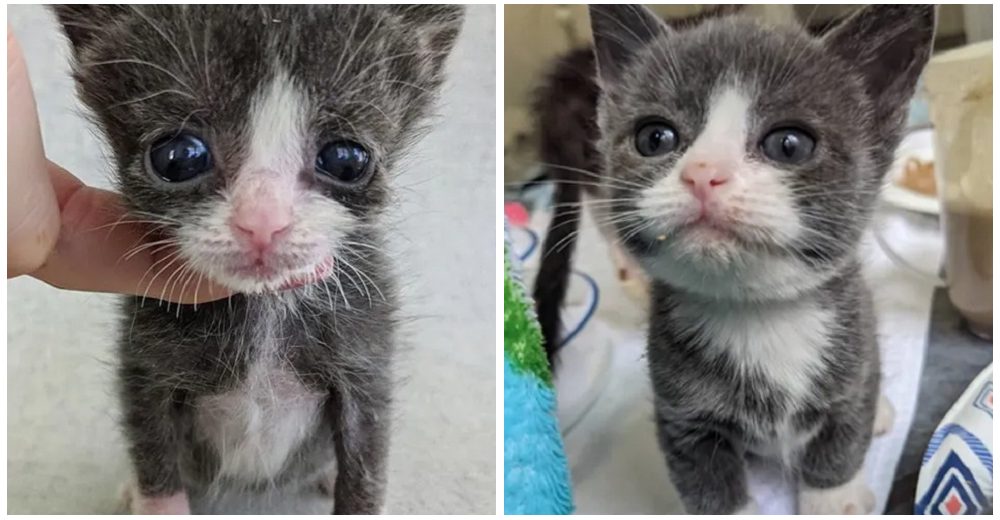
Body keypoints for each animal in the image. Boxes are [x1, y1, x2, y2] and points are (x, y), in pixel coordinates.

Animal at [51, 4, 464, 512]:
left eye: (347, 159)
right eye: (178, 157)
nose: (263, 222)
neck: (265, 308)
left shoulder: (367, 352)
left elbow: (367, 455)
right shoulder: (144, 363)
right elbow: (151, 444)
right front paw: (157, 501)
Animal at [584, 4, 928, 516]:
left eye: (789, 144)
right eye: (654, 137)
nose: (703, 173)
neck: (758, 316)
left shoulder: (851, 359)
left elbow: (843, 439)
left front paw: (833, 498)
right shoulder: (680, 413)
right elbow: (704, 481)